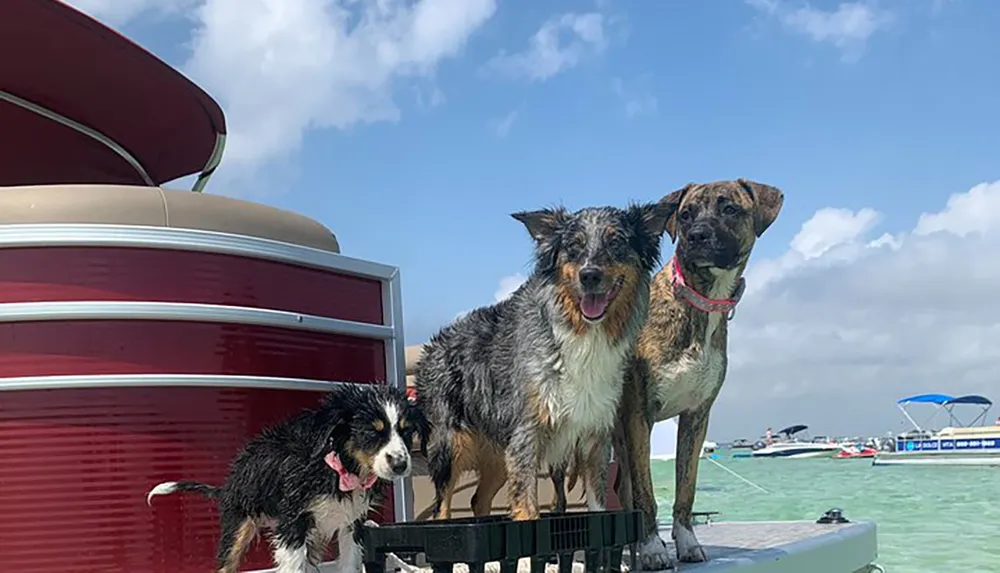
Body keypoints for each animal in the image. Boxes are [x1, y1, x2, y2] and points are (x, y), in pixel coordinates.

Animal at [146, 382, 428, 573]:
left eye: (407, 432)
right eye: (371, 432)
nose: (400, 465)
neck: (337, 470)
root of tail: (229, 484)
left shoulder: (352, 524)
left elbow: (348, 563)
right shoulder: (293, 523)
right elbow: (294, 565)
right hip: (238, 525)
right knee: (227, 563)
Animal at [414, 203, 672, 520]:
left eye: (616, 242)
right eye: (574, 246)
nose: (589, 275)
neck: (582, 334)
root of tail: (432, 346)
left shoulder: (594, 438)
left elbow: (597, 505)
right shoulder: (527, 436)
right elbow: (527, 509)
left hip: (499, 453)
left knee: (478, 499)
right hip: (451, 447)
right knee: (442, 506)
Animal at [612, 179, 784, 568]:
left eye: (729, 209)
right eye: (686, 214)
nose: (697, 236)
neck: (700, 299)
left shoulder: (696, 416)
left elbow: (686, 489)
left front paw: (687, 542)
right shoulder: (638, 415)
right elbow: (645, 492)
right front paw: (653, 548)